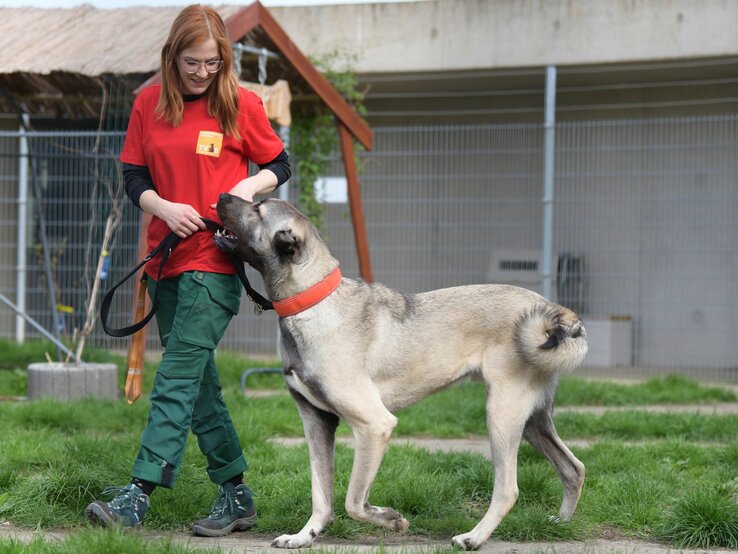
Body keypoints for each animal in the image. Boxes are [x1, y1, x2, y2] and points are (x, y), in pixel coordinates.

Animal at [213, 194, 588, 548]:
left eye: (258, 208)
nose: (221, 196)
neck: (312, 300)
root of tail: (556, 311)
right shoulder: (317, 422)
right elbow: (321, 495)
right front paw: (305, 536)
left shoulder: (374, 425)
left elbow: (353, 501)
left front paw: (390, 519)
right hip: (532, 420)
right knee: (574, 468)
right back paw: (561, 523)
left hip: (502, 415)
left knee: (509, 488)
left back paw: (474, 538)